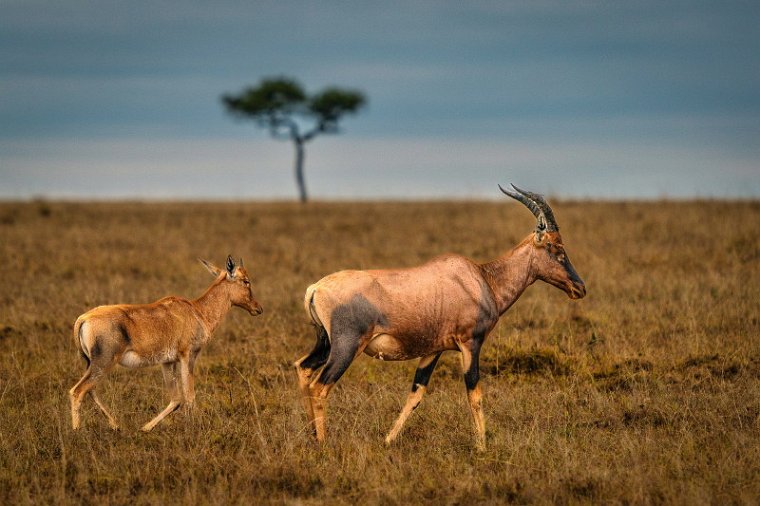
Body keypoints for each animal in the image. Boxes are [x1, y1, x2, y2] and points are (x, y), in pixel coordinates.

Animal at [69, 256, 264, 430]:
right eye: (246, 281)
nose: (258, 308)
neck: (196, 311)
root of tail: (83, 319)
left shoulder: (167, 362)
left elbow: (176, 399)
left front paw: (145, 428)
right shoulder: (187, 356)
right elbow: (189, 395)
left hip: (91, 363)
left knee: (91, 390)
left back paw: (116, 425)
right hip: (104, 362)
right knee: (78, 391)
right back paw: (78, 431)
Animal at [296, 186, 588, 450]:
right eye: (554, 247)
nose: (580, 288)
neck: (481, 278)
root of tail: (315, 288)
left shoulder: (432, 350)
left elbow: (416, 395)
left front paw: (388, 440)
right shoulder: (470, 344)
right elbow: (474, 393)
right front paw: (482, 447)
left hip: (326, 343)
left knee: (303, 368)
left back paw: (311, 435)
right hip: (347, 346)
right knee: (320, 386)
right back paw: (323, 443)